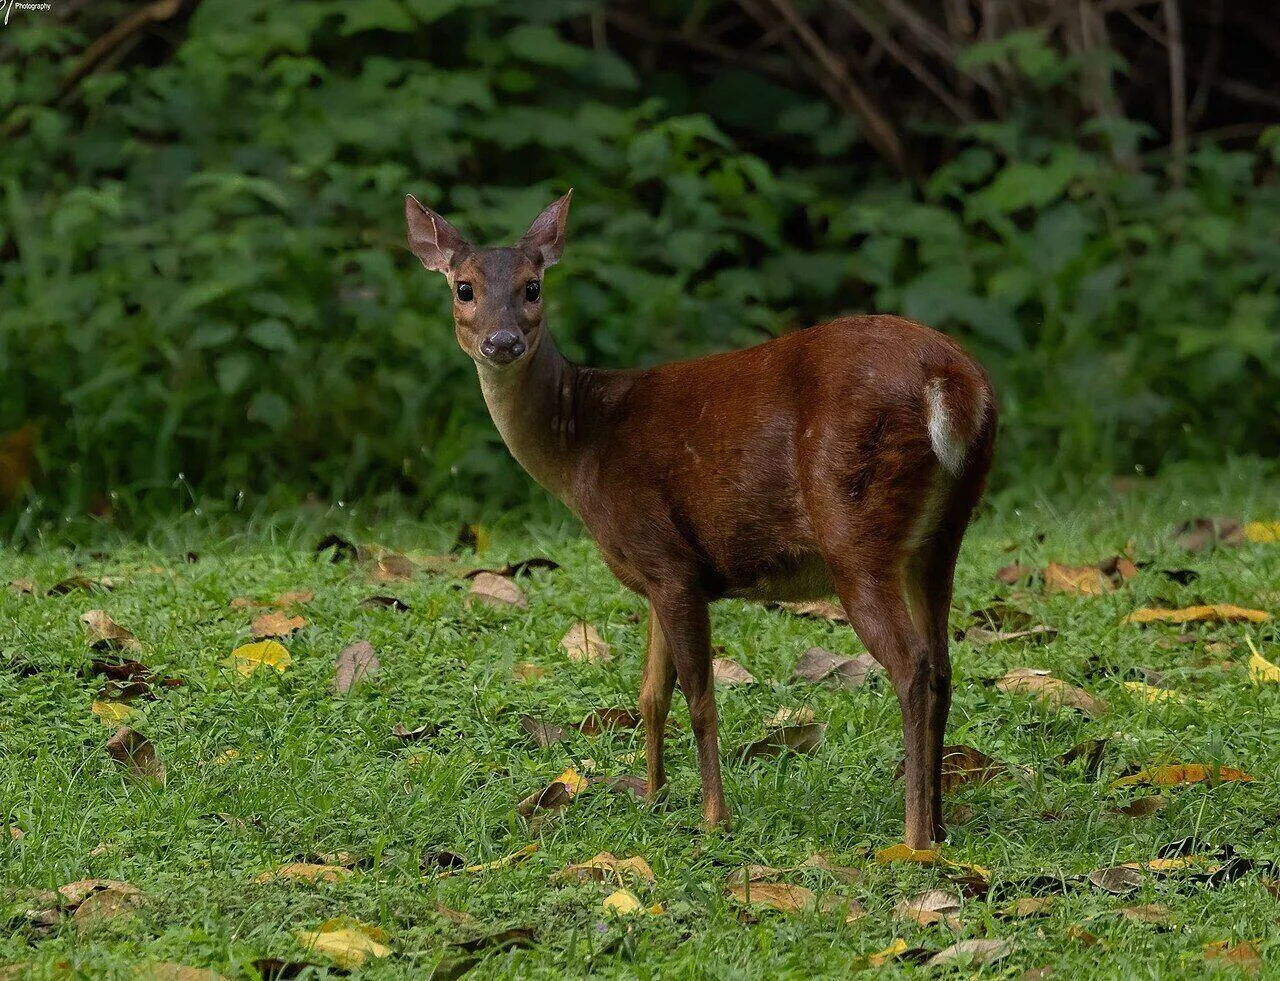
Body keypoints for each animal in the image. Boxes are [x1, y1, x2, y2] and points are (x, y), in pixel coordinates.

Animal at [405, 189, 996, 849]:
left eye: (533, 287)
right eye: (464, 287)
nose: (503, 341)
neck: (582, 444)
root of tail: (953, 383)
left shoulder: (666, 557)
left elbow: (698, 695)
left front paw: (714, 818)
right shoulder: (663, 574)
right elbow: (650, 693)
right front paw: (651, 795)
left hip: (856, 531)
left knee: (912, 666)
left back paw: (912, 839)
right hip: (940, 539)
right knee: (942, 664)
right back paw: (939, 822)